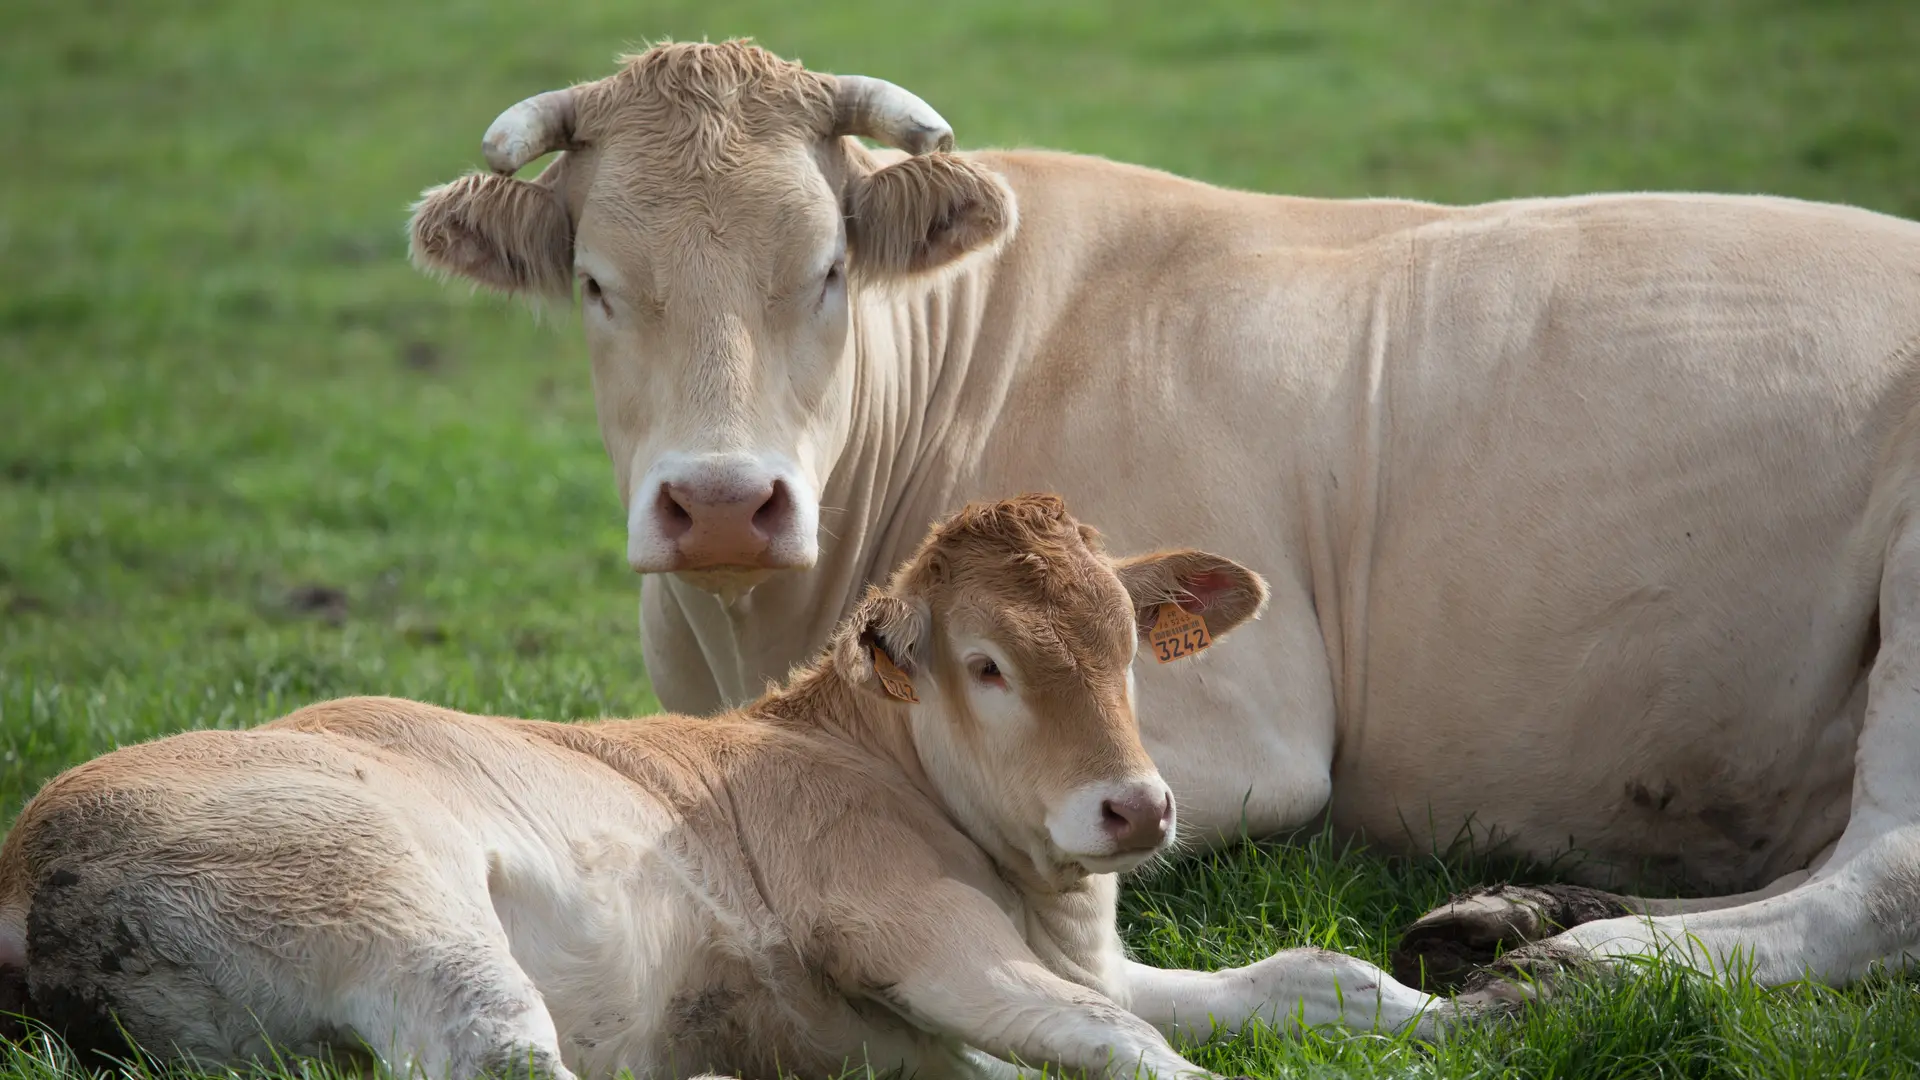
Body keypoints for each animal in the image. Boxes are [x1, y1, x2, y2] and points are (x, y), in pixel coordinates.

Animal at [0, 495, 1443, 1076]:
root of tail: (26, 857)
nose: (1133, 808)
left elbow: (1308, 975)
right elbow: (1117, 1041)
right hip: (390, 901)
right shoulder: (901, 921)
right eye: (984, 663)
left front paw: (1455, 1019)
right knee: (499, 1051)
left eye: (1129, 646)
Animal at [405, 37, 1920, 991]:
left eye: (829, 268)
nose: (723, 502)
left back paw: (1579, 960)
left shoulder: (1239, 735)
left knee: (1883, 871)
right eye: (597, 282)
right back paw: (1511, 911)